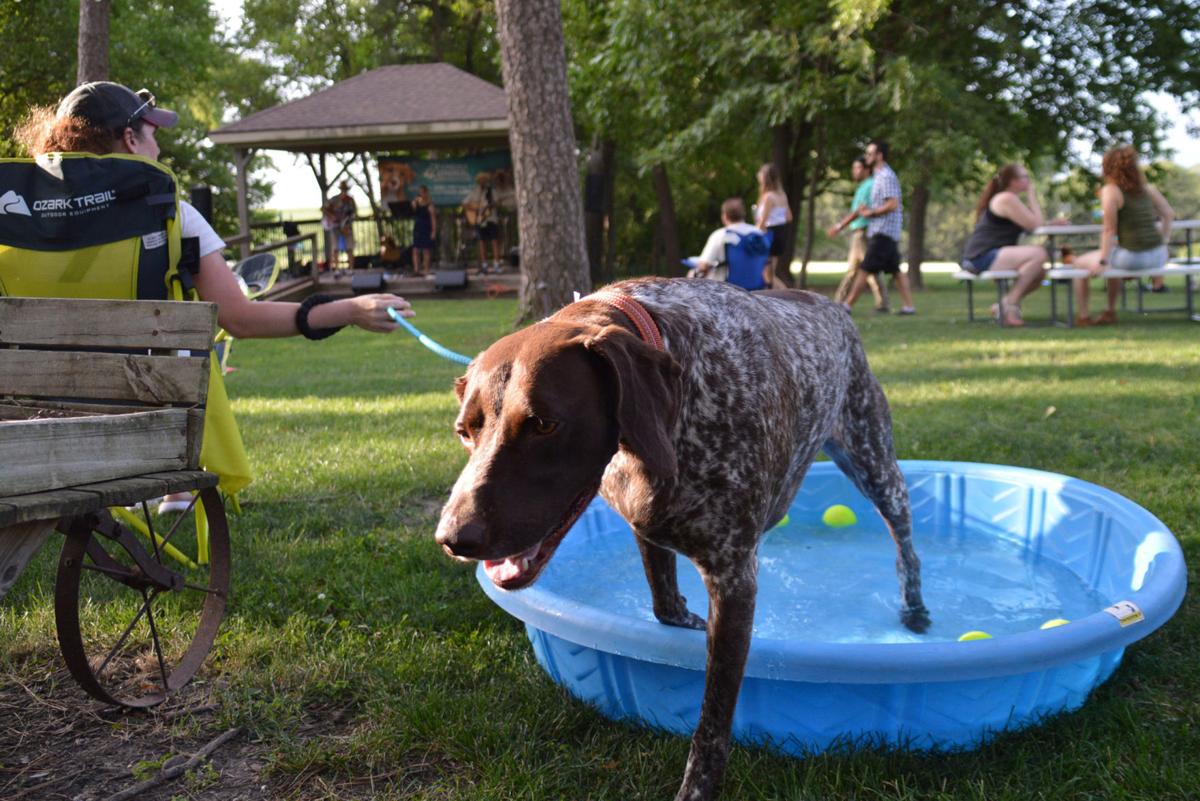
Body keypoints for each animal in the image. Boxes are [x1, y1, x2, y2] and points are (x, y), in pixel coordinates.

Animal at [436, 276, 931, 801]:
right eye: (464, 431)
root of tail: (830, 306)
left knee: (907, 548)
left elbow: (712, 721)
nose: (453, 537)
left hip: (874, 463)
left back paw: (914, 609)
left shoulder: (732, 579)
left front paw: (697, 788)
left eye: (544, 424)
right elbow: (665, 607)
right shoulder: (648, 528)